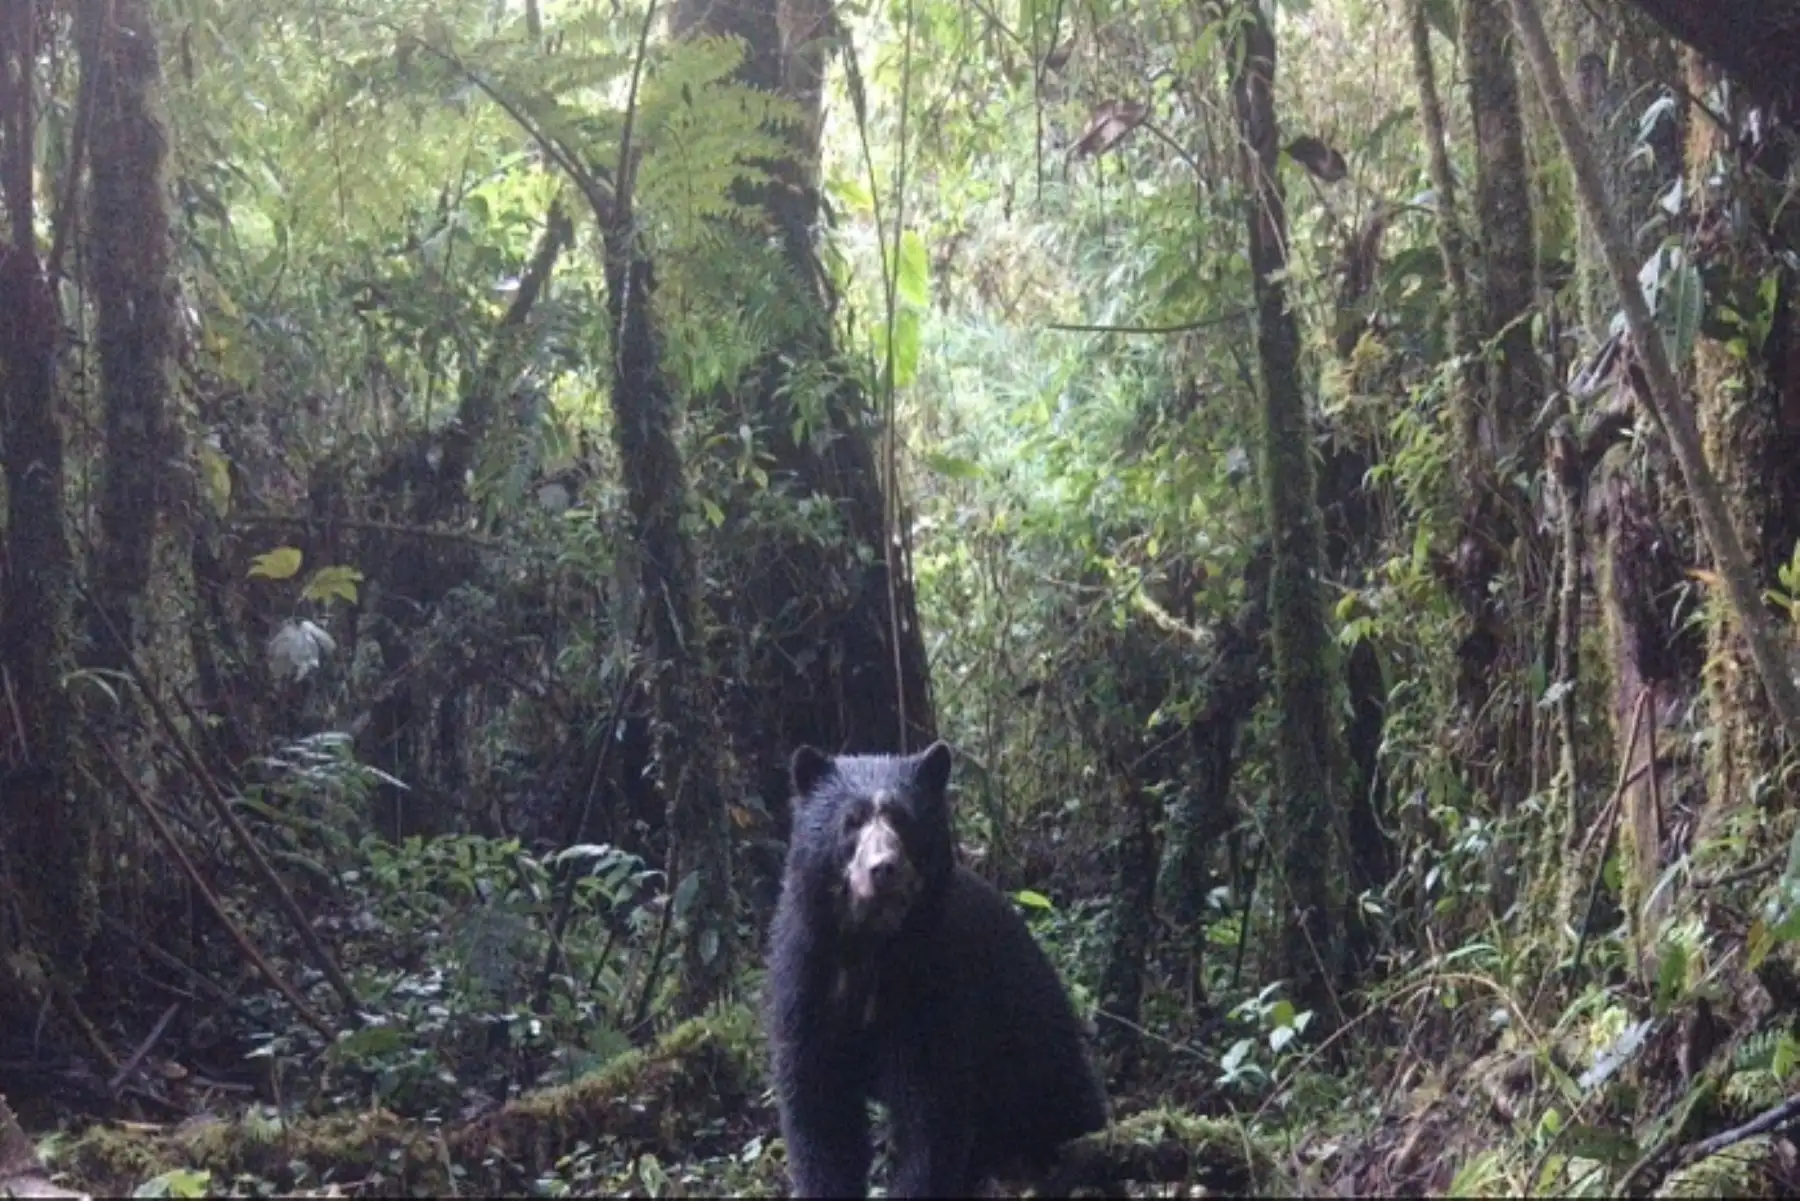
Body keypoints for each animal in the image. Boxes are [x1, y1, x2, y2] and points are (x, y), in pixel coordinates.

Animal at [765, 740, 1109, 1198]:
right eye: (851, 822)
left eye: (902, 819)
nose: (883, 869)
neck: (871, 946)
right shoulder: (807, 976)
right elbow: (820, 1109)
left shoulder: (935, 980)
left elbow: (931, 1109)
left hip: (1033, 1038)